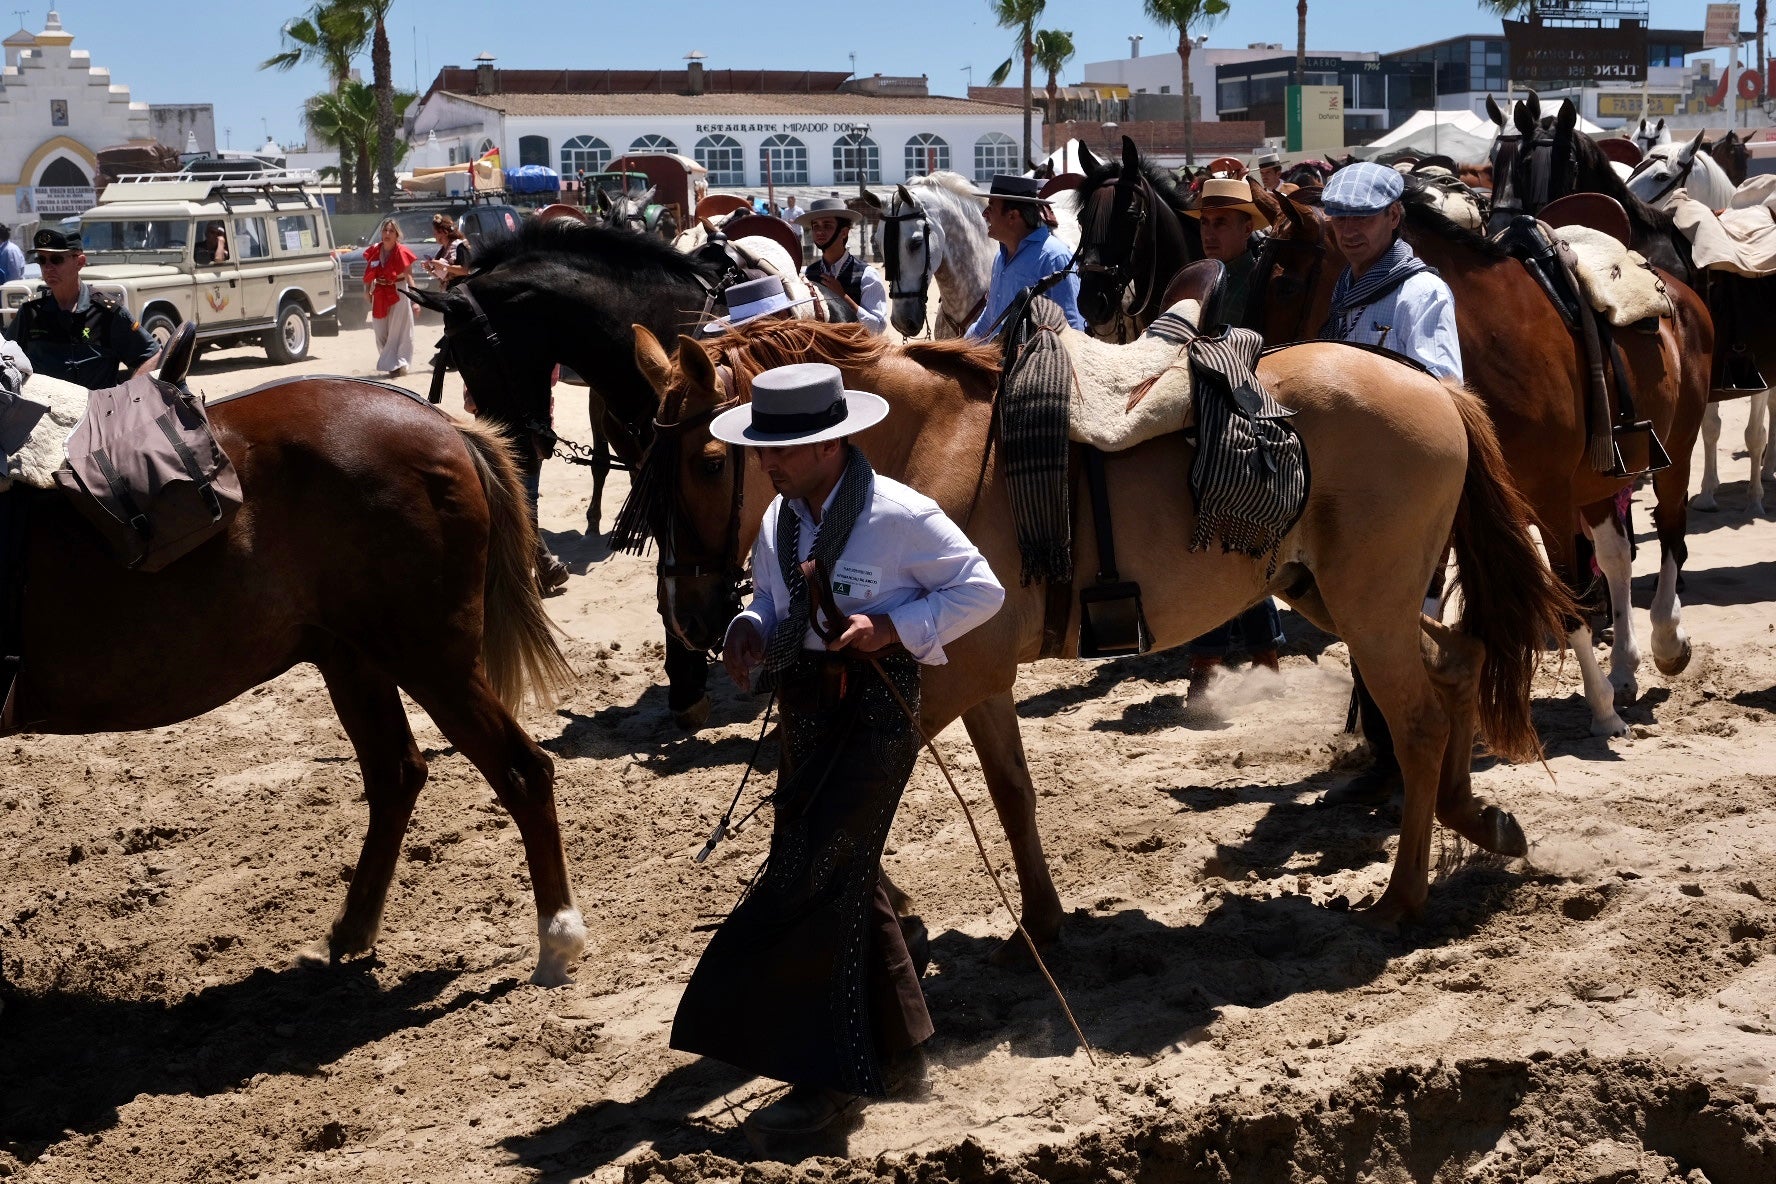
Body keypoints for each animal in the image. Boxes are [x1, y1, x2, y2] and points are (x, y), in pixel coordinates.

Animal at [621, 319, 1569, 951]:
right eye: (648, 463)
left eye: (710, 460)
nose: (692, 618)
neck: (929, 443)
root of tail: (1434, 387)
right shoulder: (977, 677)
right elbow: (1010, 795)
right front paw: (1040, 922)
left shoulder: (948, 673)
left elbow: (829, 781)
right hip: (1335, 598)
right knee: (1458, 665)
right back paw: (1479, 820)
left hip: (1365, 607)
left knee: (1417, 722)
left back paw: (1402, 899)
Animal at [1257, 189, 1712, 734]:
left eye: (1283, 286)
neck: (1492, 344)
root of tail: (1680, 292)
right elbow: (1423, 605)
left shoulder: (1549, 496)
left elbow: (1569, 596)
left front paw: (1602, 711)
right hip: (1597, 483)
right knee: (1617, 557)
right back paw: (1624, 668)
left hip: (1676, 452)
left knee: (1670, 533)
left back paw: (1667, 642)